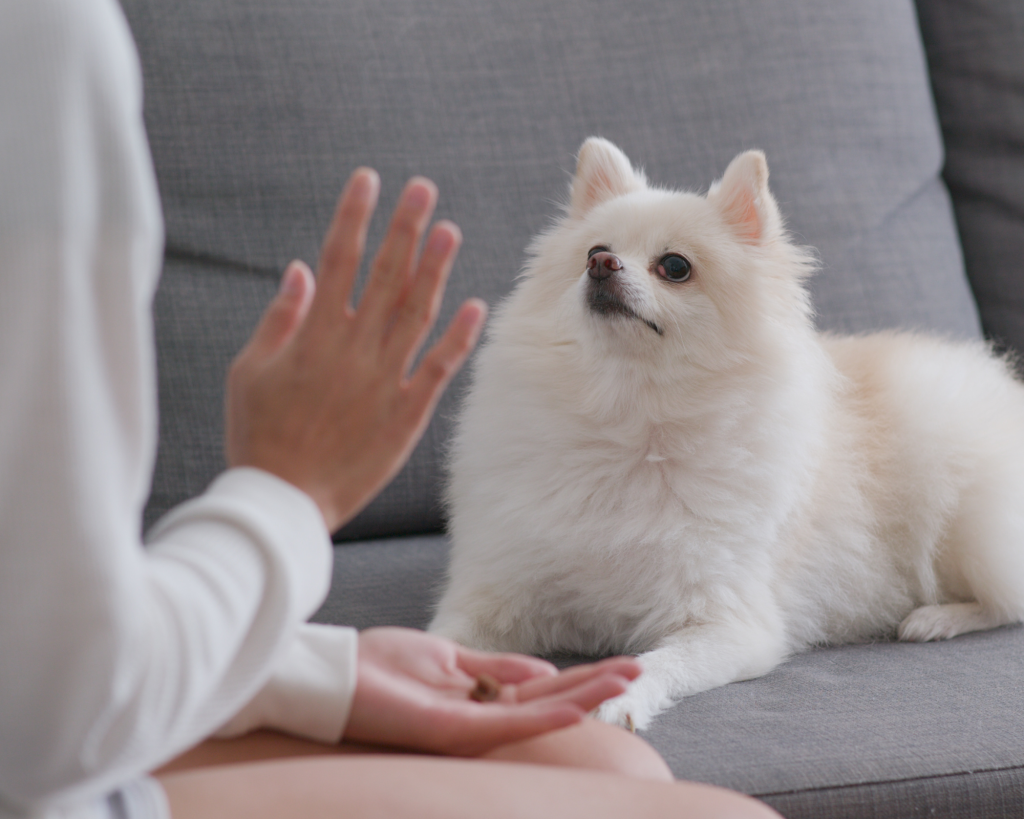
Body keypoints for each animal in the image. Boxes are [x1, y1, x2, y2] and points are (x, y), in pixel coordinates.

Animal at [428, 136, 1024, 728]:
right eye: (592, 250)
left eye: (675, 266)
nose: (600, 264)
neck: (632, 418)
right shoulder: (500, 593)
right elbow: (441, 639)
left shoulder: (730, 625)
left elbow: (653, 663)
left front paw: (615, 701)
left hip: (968, 523)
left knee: (1006, 602)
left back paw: (937, 618)